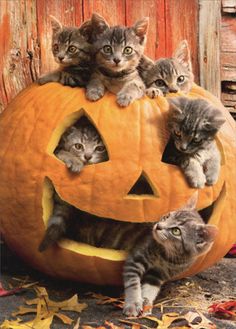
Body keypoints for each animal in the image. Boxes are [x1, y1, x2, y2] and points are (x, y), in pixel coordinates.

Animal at [38, 119, 108, 250]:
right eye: (78, 146)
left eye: (100, 148)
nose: (87, 156)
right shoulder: (57, 150)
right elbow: (62, 152)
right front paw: (75, 161)